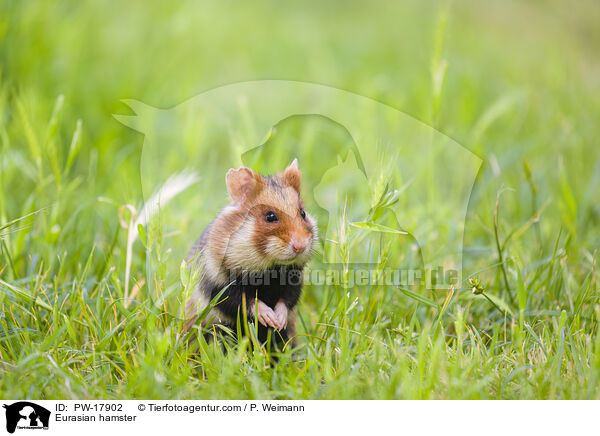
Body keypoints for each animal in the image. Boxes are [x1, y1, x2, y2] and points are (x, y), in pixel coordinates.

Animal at [183, 158, 318, 346]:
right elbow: (244, 301)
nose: (301, 246)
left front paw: (278, 321)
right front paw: (269, 317)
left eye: (303, 213)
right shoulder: (218, 285)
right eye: (270, 217)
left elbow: (287, 300)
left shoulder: (294, 280)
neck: (270, 267)